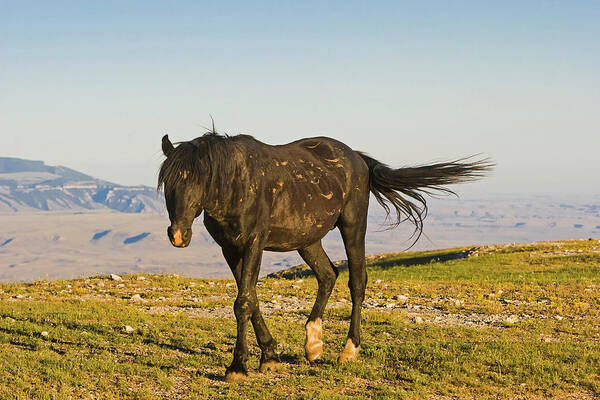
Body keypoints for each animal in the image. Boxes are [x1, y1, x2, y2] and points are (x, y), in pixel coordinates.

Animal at [159, 131, 492, 382]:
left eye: (196, 180)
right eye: (168, 183)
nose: (177, 235)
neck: (236, 184)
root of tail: (357, 158)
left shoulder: (254, 243)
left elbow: (243, 302)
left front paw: (238, 367)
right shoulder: (230, 248)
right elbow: (251, 299)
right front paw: (270, 356)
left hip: (353, 225)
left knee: (357, 281)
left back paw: (349, 350)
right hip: (308, 239)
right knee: (328, 274)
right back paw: (313, 344)